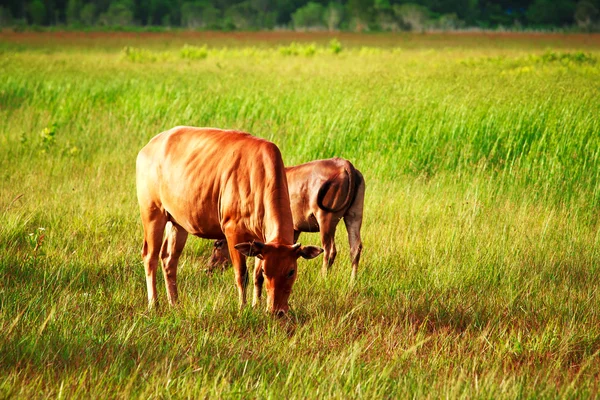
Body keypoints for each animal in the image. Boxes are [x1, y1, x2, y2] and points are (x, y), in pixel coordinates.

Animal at [136, 126, 324, 316]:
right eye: (267, 271)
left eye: (291, 271)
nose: (276, 311)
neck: (259, 175)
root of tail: (149, 146)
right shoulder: (232, 231)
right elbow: (242, 274)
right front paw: (243, 307)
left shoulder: (261, 241)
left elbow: (256, 276)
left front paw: (256, 305)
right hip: (152, 213)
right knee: (150, 256)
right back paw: (154, 304)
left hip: (177, 223)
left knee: (169, 259)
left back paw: (175, 303)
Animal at [209, 158, 364, 280]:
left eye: (218, 244)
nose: (209, 268)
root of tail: (344, 164)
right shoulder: (294, 229)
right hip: (354, 215)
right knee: (355, 248)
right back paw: (353, 281)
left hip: (326, 218)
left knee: (330, 250)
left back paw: (323, 277)